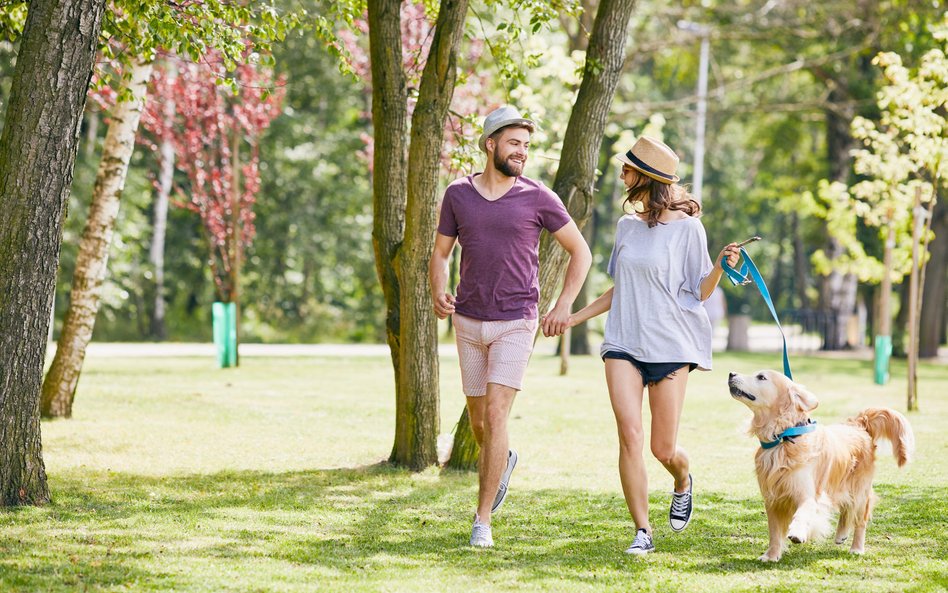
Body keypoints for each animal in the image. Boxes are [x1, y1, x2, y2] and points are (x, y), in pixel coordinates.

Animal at [724, 370, 912, 560]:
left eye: (761, 377)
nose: (731, 373)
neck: (784, 438)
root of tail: (858, 424)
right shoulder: (772, 499)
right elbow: (774, 532)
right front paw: (771, 555)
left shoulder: (809, 493)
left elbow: (803, 512)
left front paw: (797, 532)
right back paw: (841, 534)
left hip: (859, 490)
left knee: (860, 518)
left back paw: (857, 548)